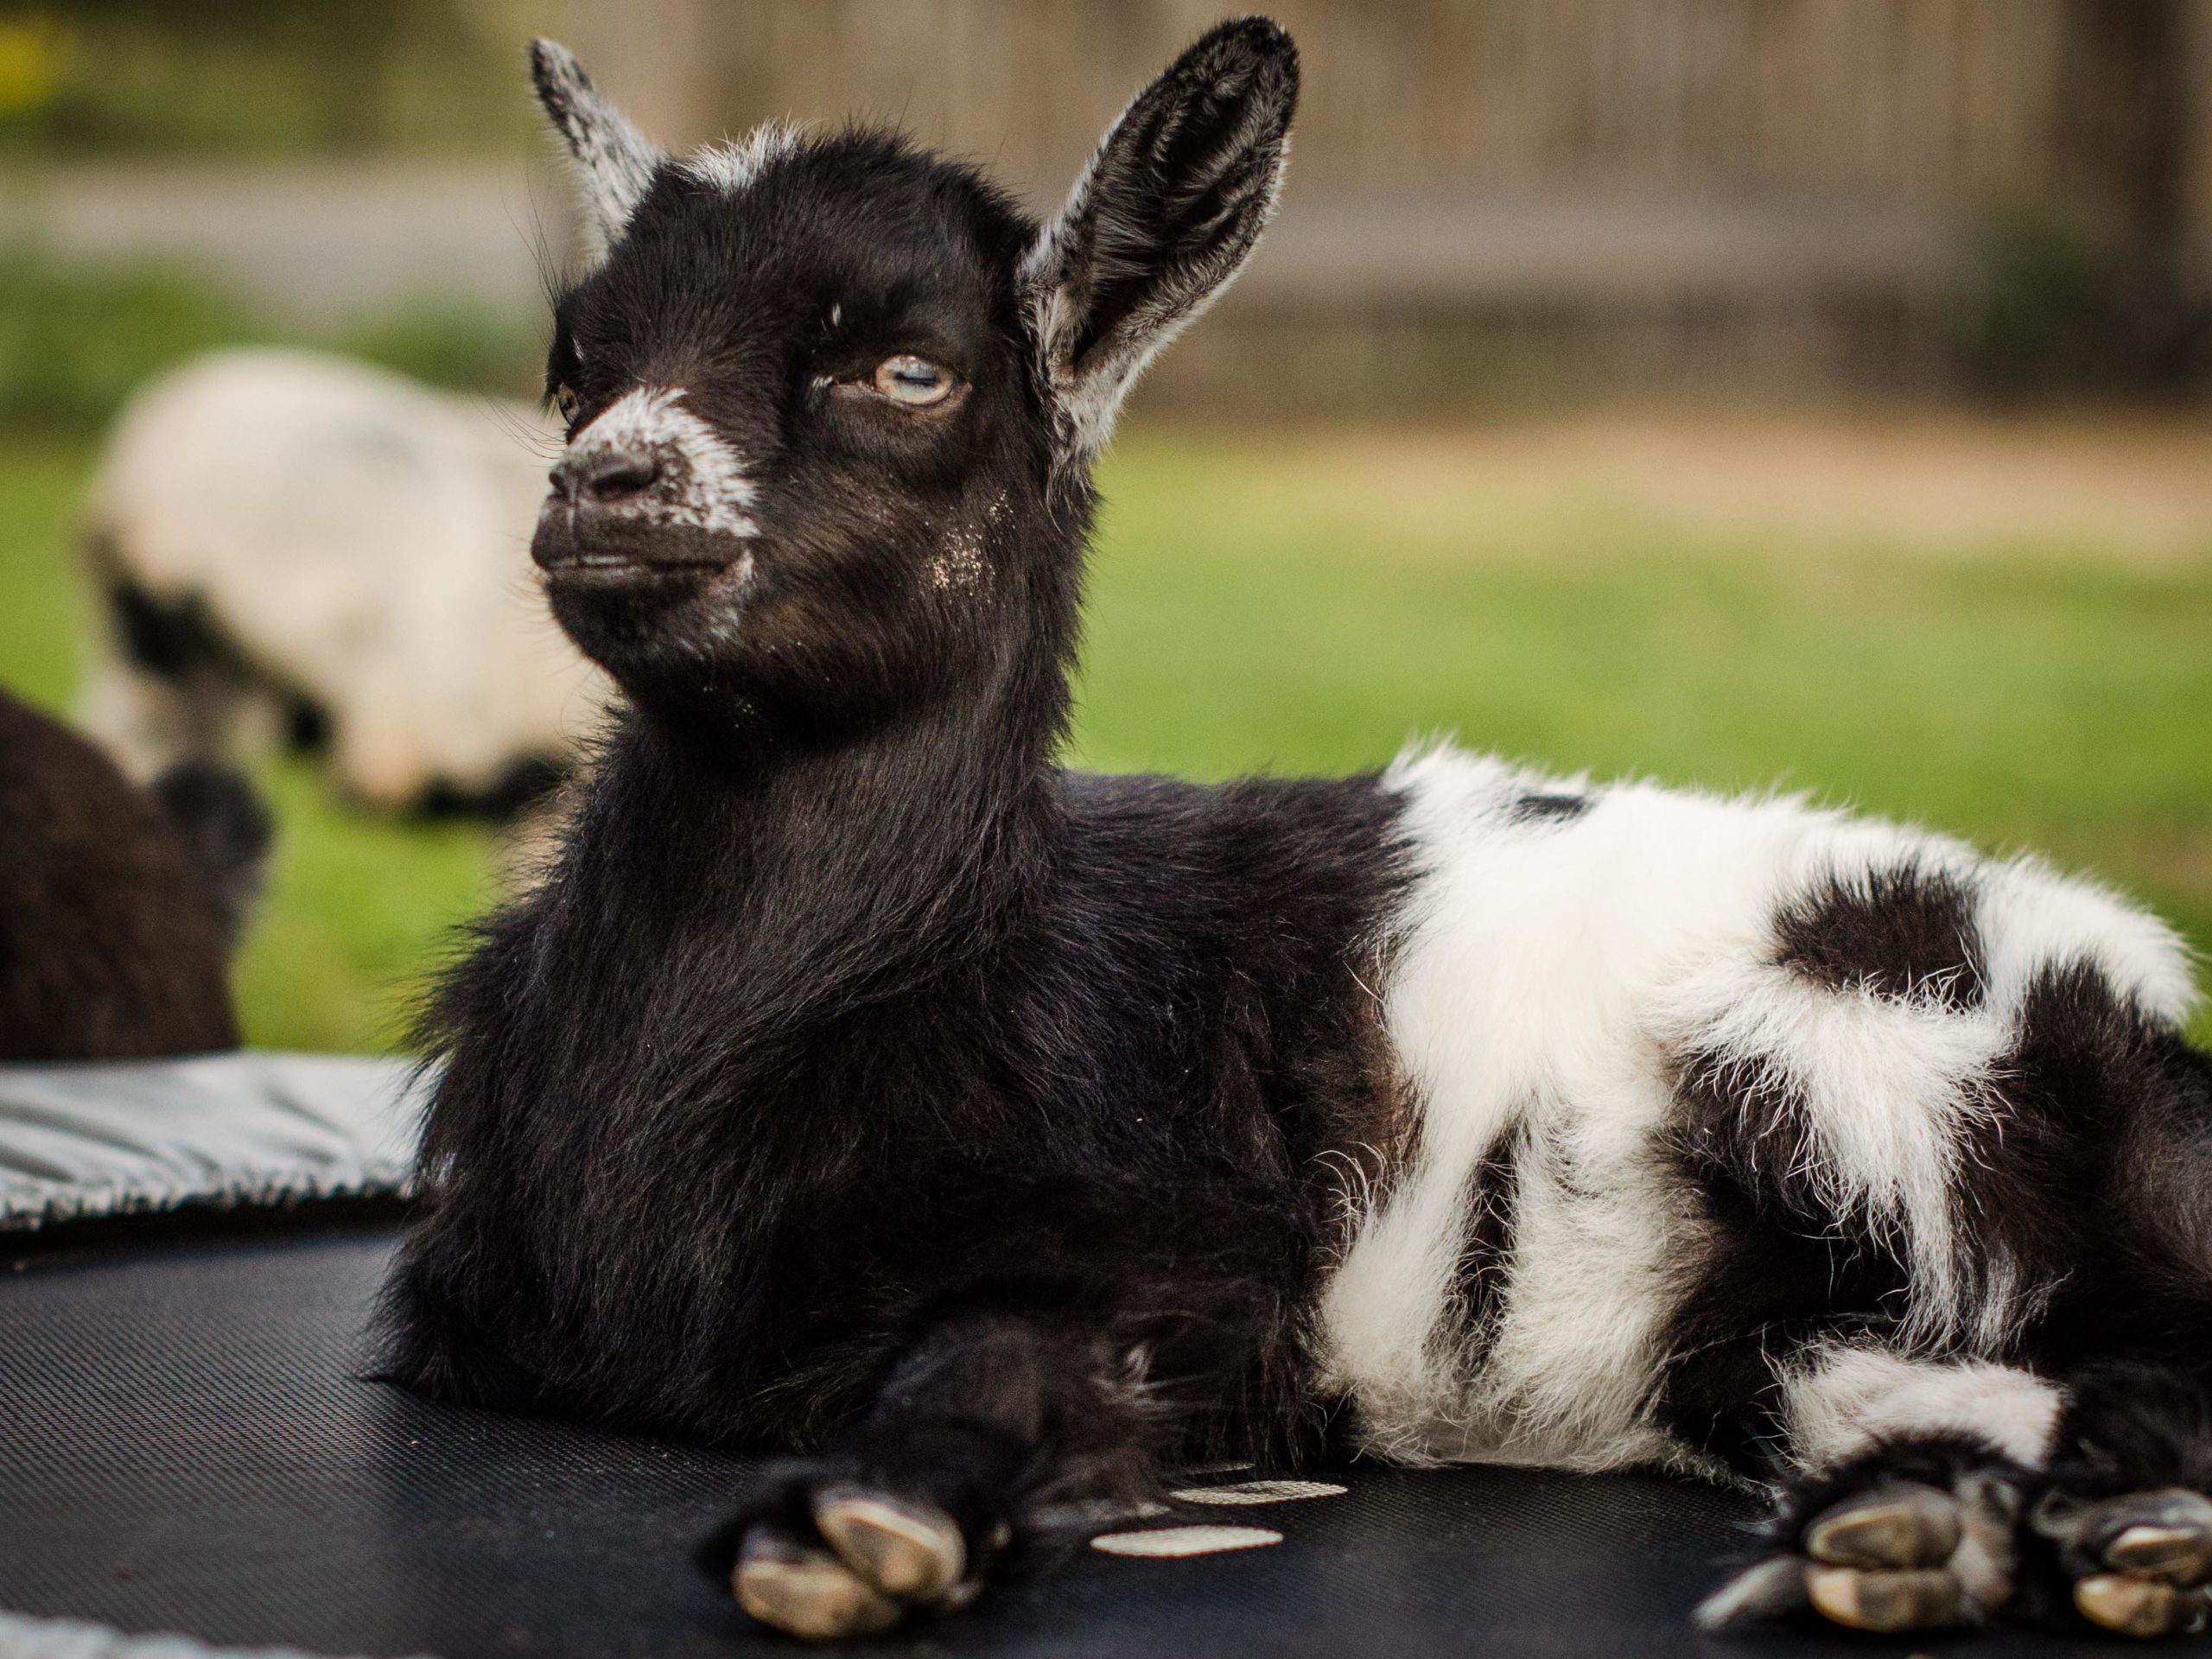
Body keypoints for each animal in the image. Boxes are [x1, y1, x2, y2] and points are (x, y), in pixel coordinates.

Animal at [385, 19, 2212, 1642]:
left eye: (908, 368)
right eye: (575, 367)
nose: (607, 488)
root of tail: (2153, 1037)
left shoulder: (1167, 1256)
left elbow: (1002, 1362)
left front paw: (858, 1530)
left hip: (1870, 1050)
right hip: (1784, 1316)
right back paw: (1940, 1537)